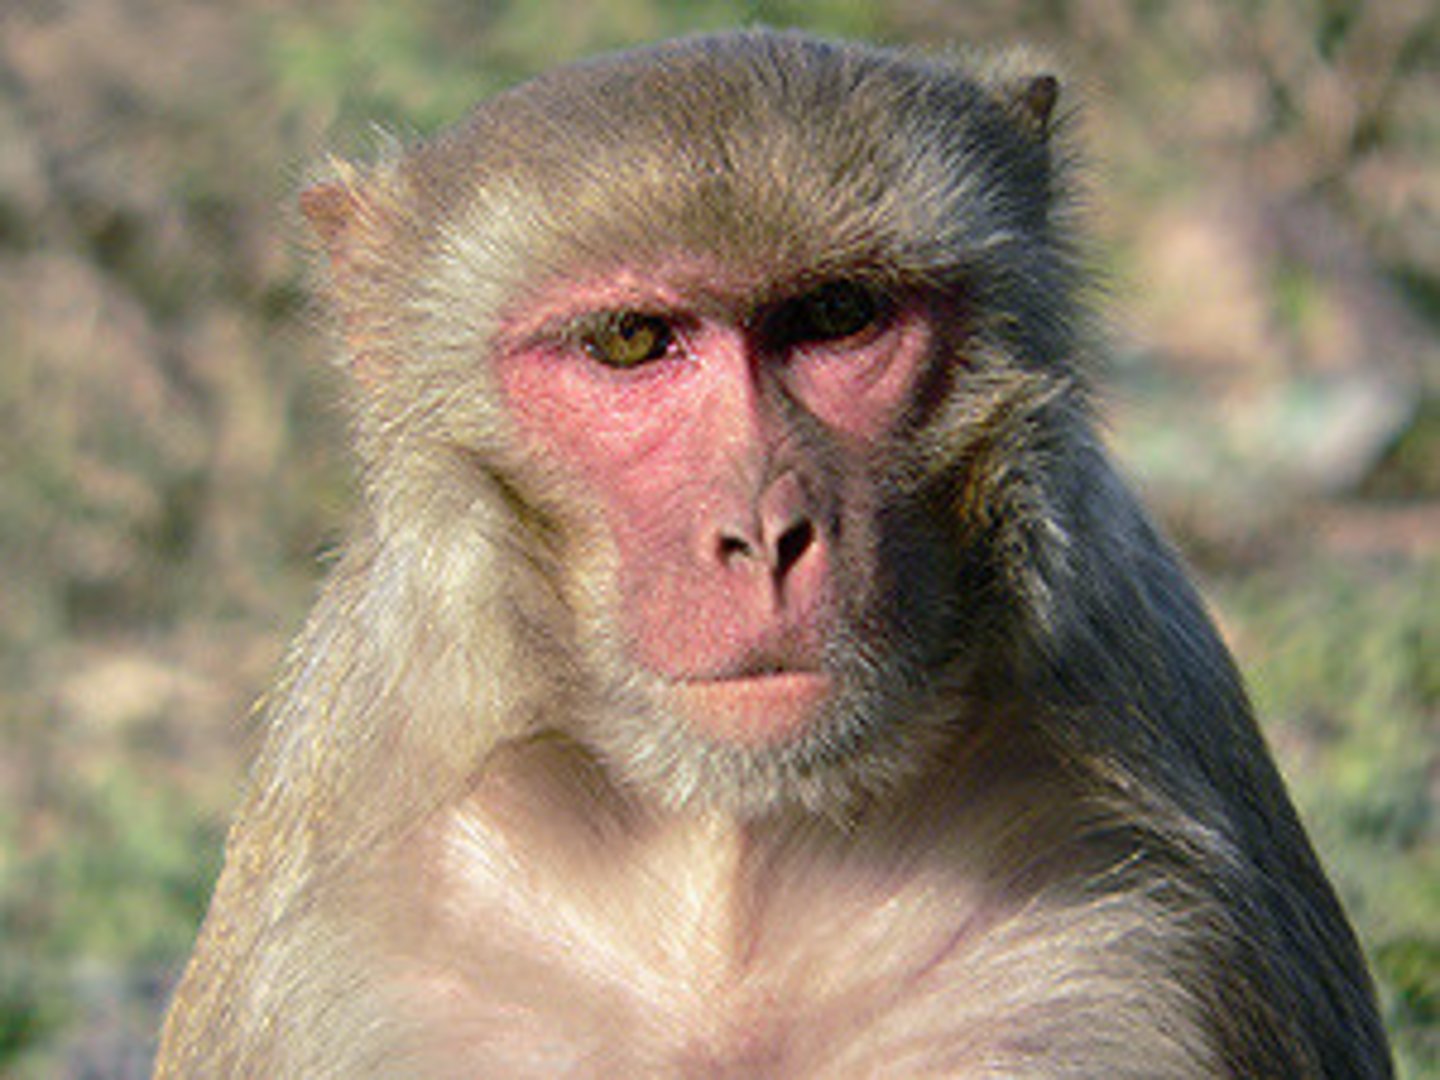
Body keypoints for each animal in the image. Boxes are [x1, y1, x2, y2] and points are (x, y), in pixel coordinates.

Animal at [155, 30, 1391, 1078]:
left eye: (837, 314)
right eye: (629, 340)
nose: (766, 534)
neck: (727, 859)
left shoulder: (1157, 936)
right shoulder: (329, 966)